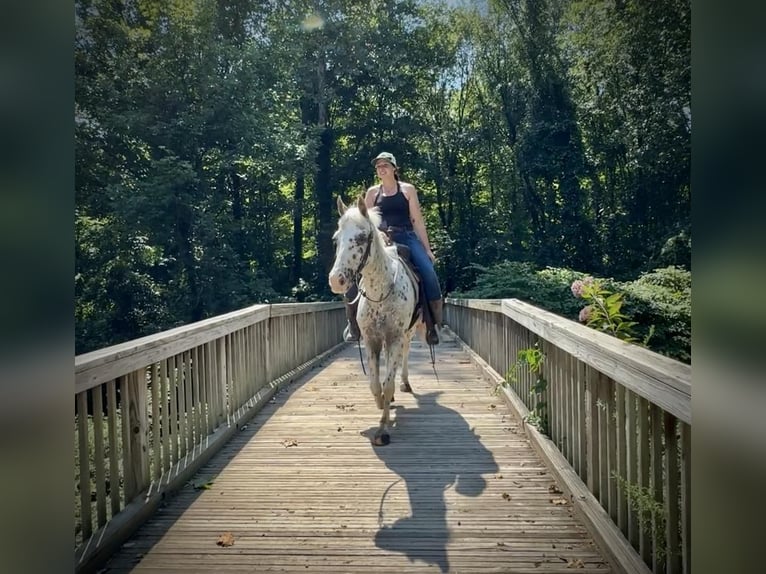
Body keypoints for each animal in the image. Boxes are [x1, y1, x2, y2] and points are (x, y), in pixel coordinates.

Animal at [328, 196, 424, 448]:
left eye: (361, 238)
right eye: (336, 239)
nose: (336, 280)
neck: (380, 292)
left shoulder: (395, 338)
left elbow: (387, 382)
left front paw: (382, 429)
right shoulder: (371, 340)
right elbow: (374, 384)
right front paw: (382, 404)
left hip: (407, 335)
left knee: (404, 357)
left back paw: (404, 383)